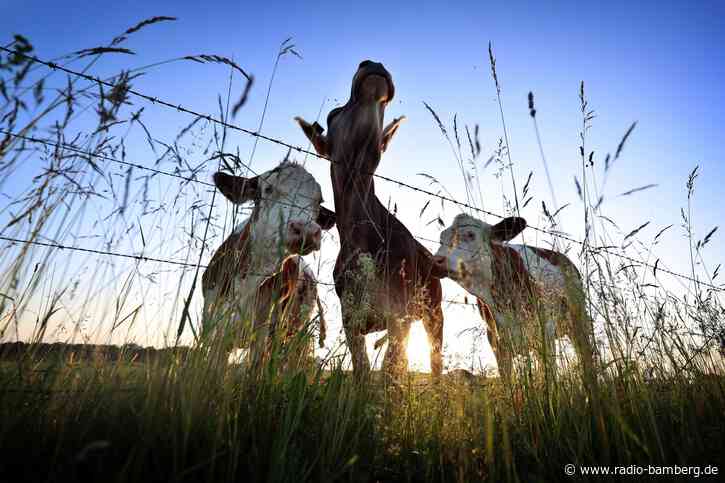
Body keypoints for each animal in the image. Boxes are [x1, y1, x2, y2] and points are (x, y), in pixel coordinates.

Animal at [296, 60, 446, 378]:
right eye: (332, 114)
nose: (372, 64)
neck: (362, 237)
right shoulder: (351, 314)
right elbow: (363, 368)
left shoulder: (400, 310)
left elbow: (391, 367)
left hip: (433, 306)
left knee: (435, 358)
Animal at [432, 213, 596, 381]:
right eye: (441, 239)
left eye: (470, 235)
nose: (436, 260)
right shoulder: (497, 342)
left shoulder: (545, 332)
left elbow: (548, 375)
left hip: (579, 321)